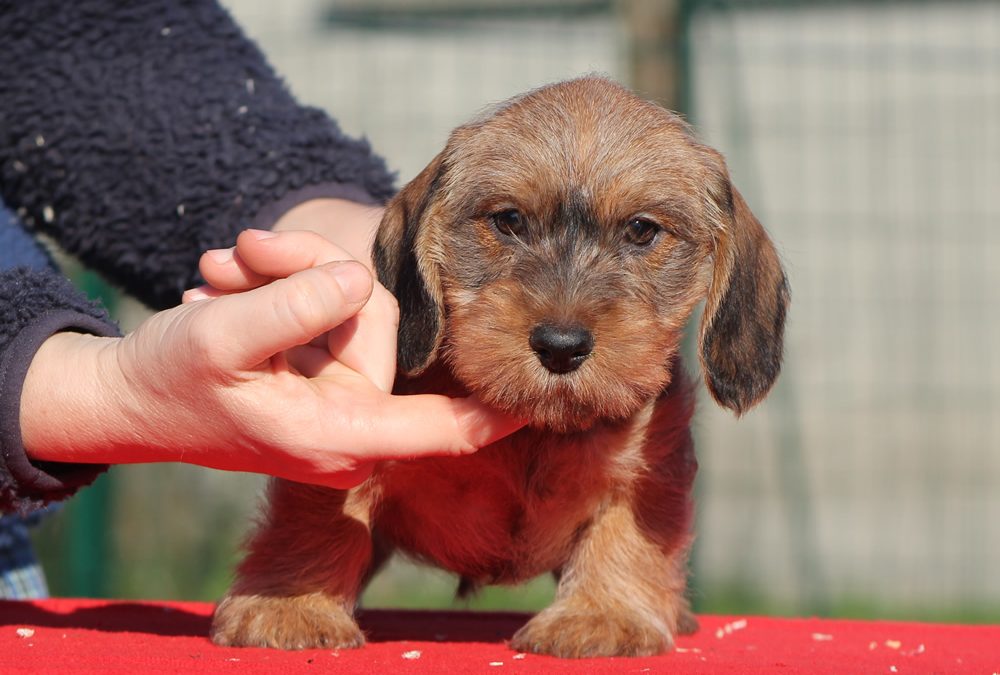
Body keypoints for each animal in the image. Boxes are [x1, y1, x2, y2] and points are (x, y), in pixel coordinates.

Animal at [211, 76, 788, 656]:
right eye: (509, 220)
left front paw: (603, 613)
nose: (561, 346)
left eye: (642, 230)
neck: (535, 433)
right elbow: (320, 521)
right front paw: (292, 604)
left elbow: (622, 533)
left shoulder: (650, 469)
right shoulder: (346, 452)